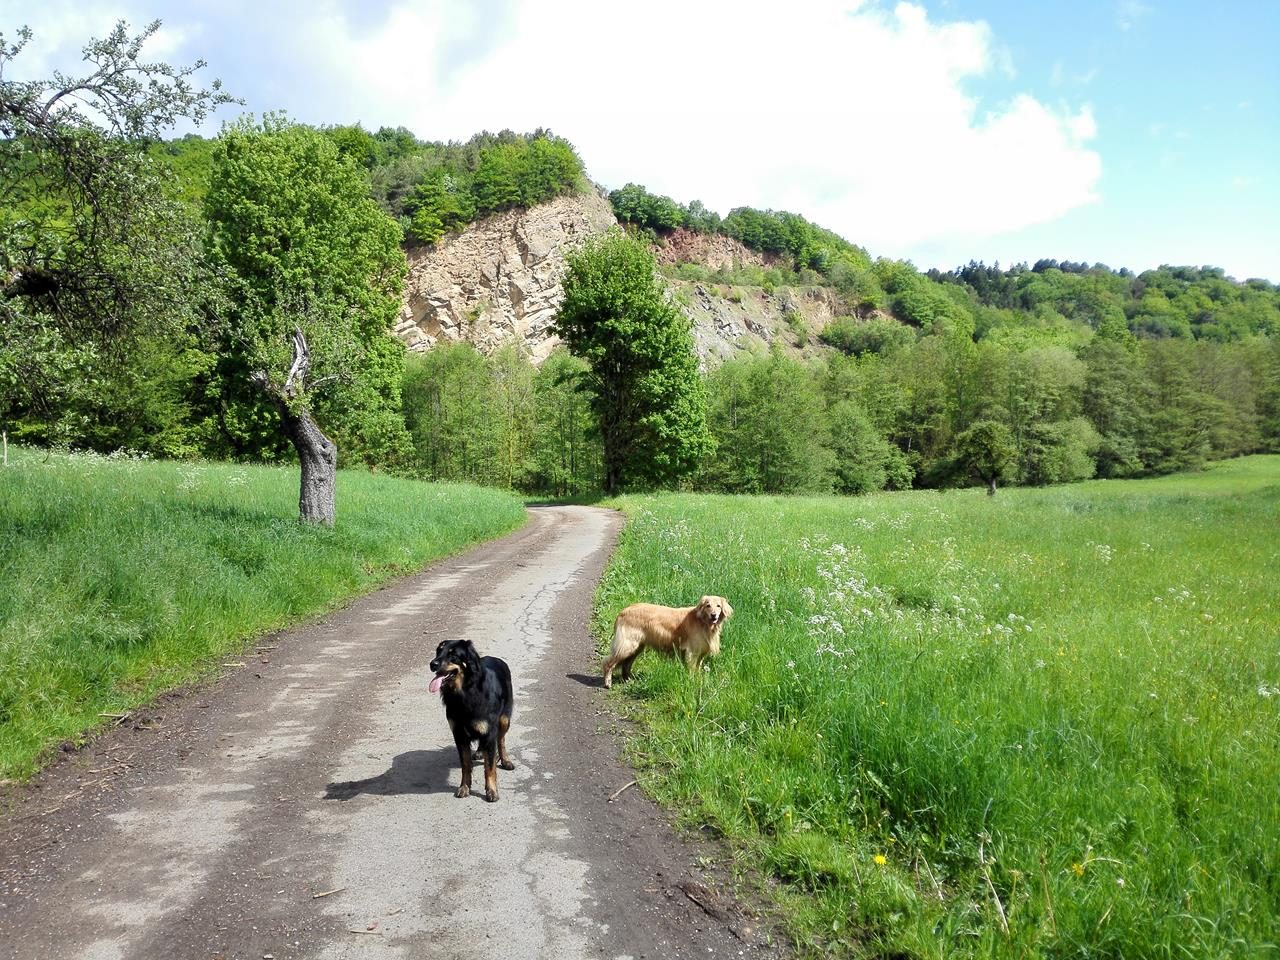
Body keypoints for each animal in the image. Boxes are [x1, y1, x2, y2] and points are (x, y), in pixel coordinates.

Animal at [427, 647, 512, 803]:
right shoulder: (459, 734)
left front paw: (491, 791)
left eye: (453, 654)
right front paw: (464, 787)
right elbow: (466, 765)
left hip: (504, 720)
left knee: (501, 740)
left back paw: (505, 760)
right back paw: (479, 752)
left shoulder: (489, 731)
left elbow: (489, 767)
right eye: (438, 652)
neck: (464, 691)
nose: (432, 664)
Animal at [599, 593, 732, 691]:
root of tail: (622, 612)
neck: (703, 623)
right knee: (608, 663)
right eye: (708, 605)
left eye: (718, 606)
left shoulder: (700, 655)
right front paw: (692, 683)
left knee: (626, 665)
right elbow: (691, 670)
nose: (714, 615)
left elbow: (697, 670)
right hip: (627, 645)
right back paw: (608, 683)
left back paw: (628, 680)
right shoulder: (692, 653)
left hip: (637, 647)